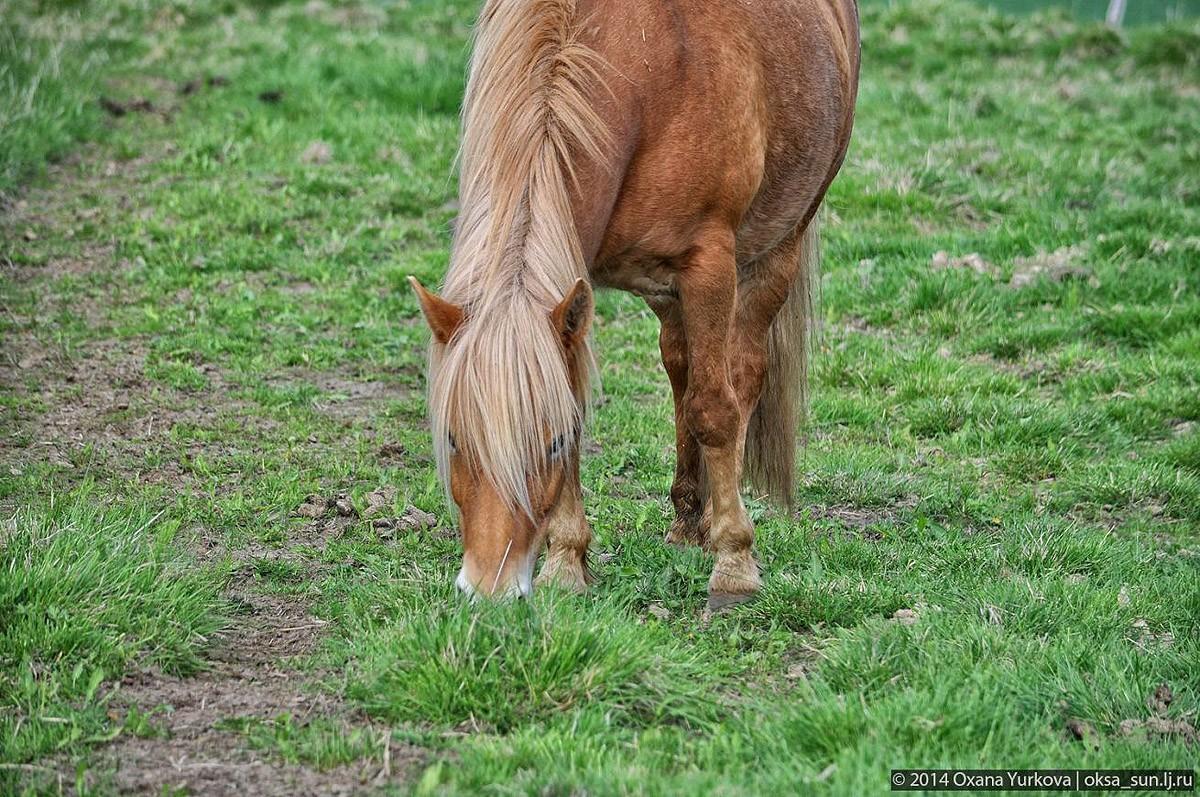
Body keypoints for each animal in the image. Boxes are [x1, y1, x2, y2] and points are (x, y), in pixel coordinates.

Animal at [412, 0, 854, 604]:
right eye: (455, 439)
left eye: (551, 446)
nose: (489, 590)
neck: (641, 68)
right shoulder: (578, 284)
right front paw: (566, 563)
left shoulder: (708, 267)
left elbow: (716, 410)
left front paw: (735, 563)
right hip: (663, 291)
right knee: (681, 368)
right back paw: (689, 522)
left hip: (776, 249)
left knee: (739, 378)